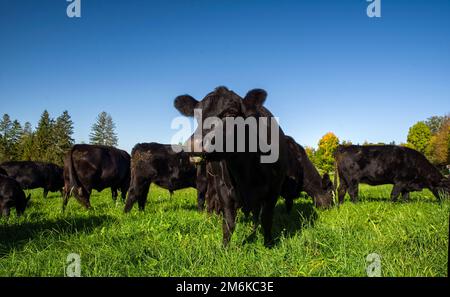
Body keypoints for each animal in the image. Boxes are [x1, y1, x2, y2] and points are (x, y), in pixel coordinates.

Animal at [174, 86, 286, 247]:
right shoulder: (223, 188)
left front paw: (268, 244)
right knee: (206, 199)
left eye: (231, 113)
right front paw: (225, 247)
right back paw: (208, 219)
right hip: (206, 179)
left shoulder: (275, 187)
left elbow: (266, 218)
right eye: (196, 117)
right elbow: (229, 221)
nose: (194, 145)